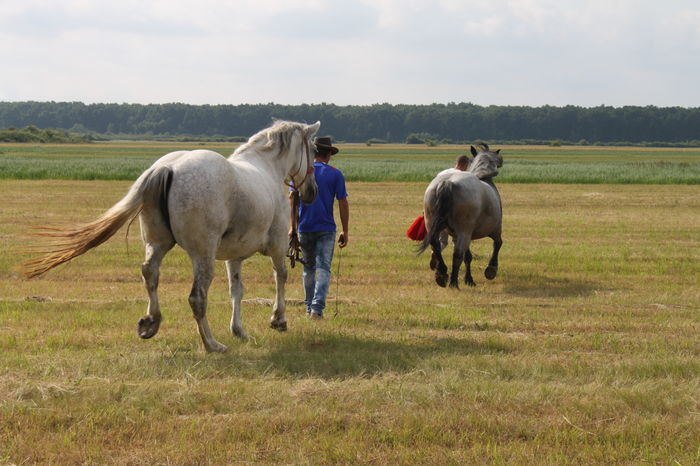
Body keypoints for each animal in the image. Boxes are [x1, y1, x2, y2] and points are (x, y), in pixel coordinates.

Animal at [24, 118, 320, 352]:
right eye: (314, 150)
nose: (312, 192)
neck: (266, 168)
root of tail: (168, 168)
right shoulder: (278, 246)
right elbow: (280, 277)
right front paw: (278, 320)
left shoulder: (233, 256)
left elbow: (236, 290)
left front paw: (239, 330)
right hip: (202, 256)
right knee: (197, 297)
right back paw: (211, 344)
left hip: (158, 244)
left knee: (150, 274)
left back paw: (151, 323)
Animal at [422, 143, 504, 288]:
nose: (502, 160)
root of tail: (447, 182)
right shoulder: (495, 230)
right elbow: (497, 244)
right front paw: (491, 270)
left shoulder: (460, 235)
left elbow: (468, 256)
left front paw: (468, 279)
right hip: (464, 231)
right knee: (457, 254)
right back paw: (453, 282)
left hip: (434, 225)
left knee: (436, 246)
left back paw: (441, 274)